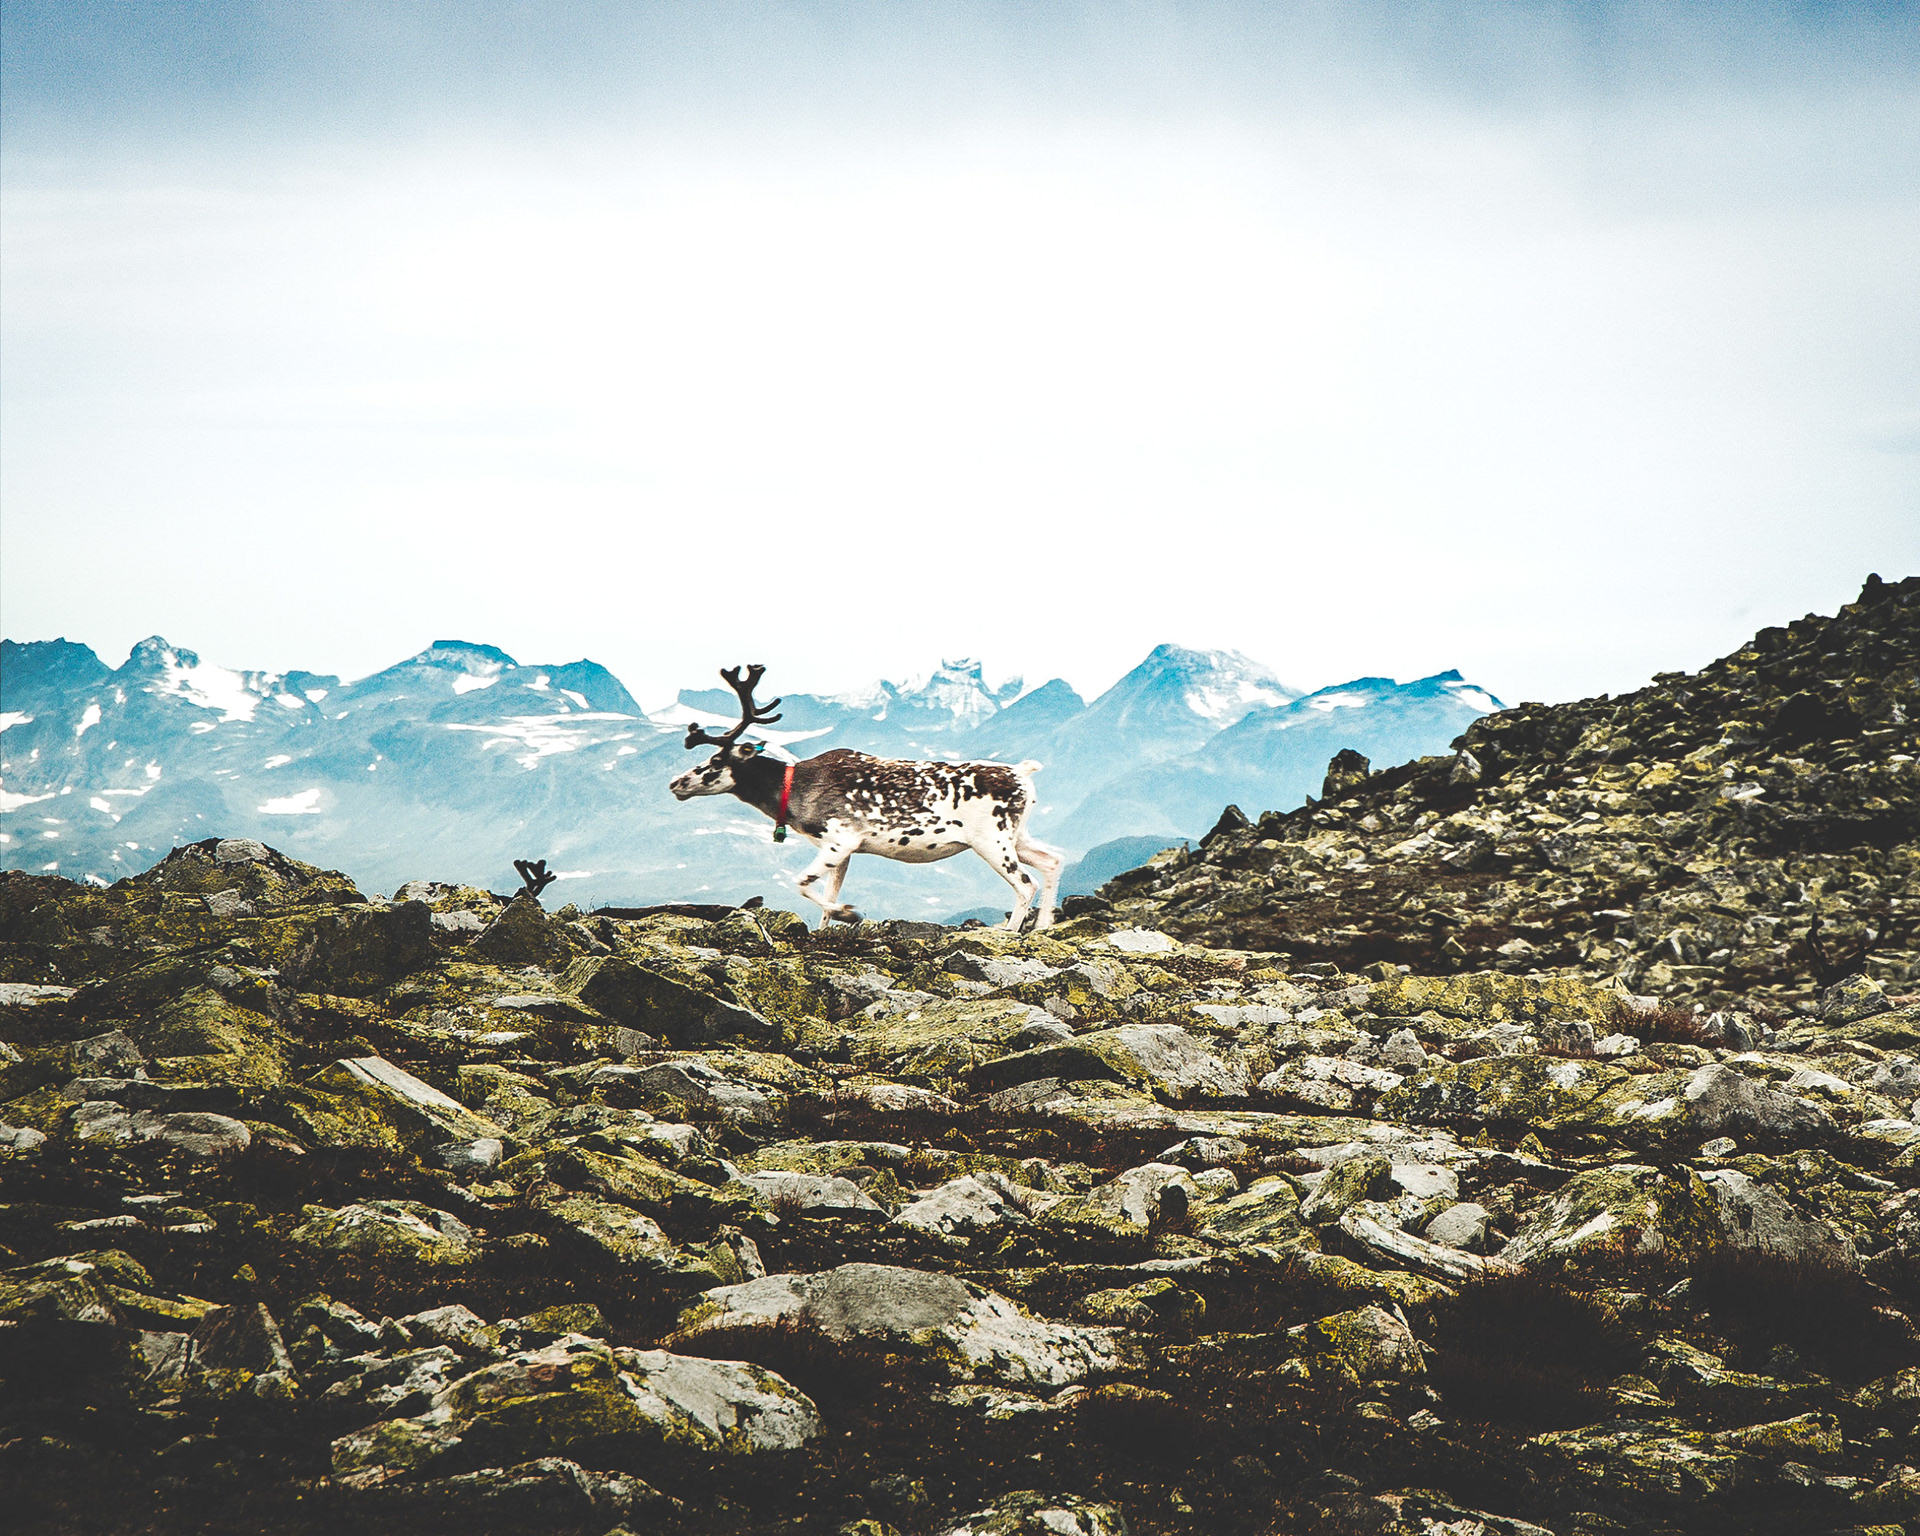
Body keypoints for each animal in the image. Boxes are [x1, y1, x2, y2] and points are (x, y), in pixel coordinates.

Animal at [668, 665, 1064, 931]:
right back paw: (1043, 925)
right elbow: (824, 900)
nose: (676, 783)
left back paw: (1011, 932)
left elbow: (799, 883)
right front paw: (830, 924)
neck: (793, 791)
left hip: (990, 840)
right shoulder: (843, 852)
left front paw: (850, 912)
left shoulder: (840, 839)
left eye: (715, 761)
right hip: (1016, 836)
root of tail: (1023, 773)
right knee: (1053, 860)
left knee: (1025, 884)